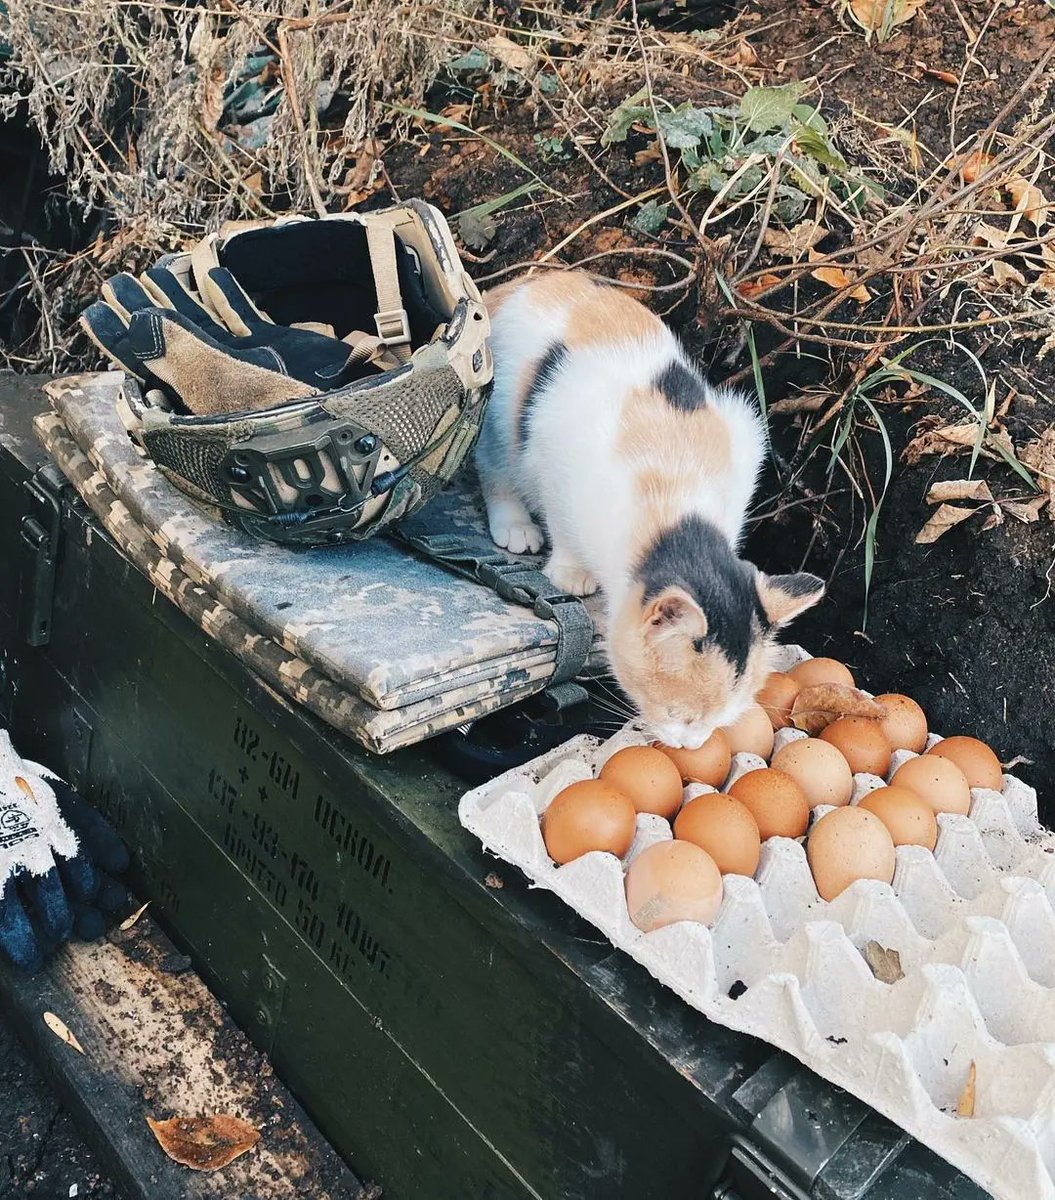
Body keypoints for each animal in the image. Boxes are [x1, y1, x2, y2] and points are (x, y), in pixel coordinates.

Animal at [477, 270, 825, 748]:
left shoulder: (744, 438)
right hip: (500, 414)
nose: (691, 745)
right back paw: (516, 526)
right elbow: (561, 520)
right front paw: (571, 571)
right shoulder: (558, 454)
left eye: (725, 717)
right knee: (494, 466)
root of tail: (520, 283)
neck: (675, 502)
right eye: (677, 712)